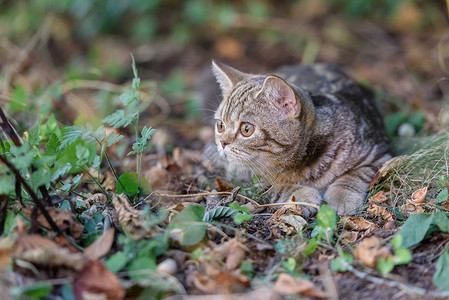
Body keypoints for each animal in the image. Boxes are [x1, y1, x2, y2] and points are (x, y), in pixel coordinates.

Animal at [212, 60, 390, 216]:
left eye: (246, 129)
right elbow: (276, 185)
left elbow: (355, 175)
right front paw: (301, 196)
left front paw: (342, 197)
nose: (222, 142)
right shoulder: (242, 175)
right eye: (220, 125)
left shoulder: (379, 155)